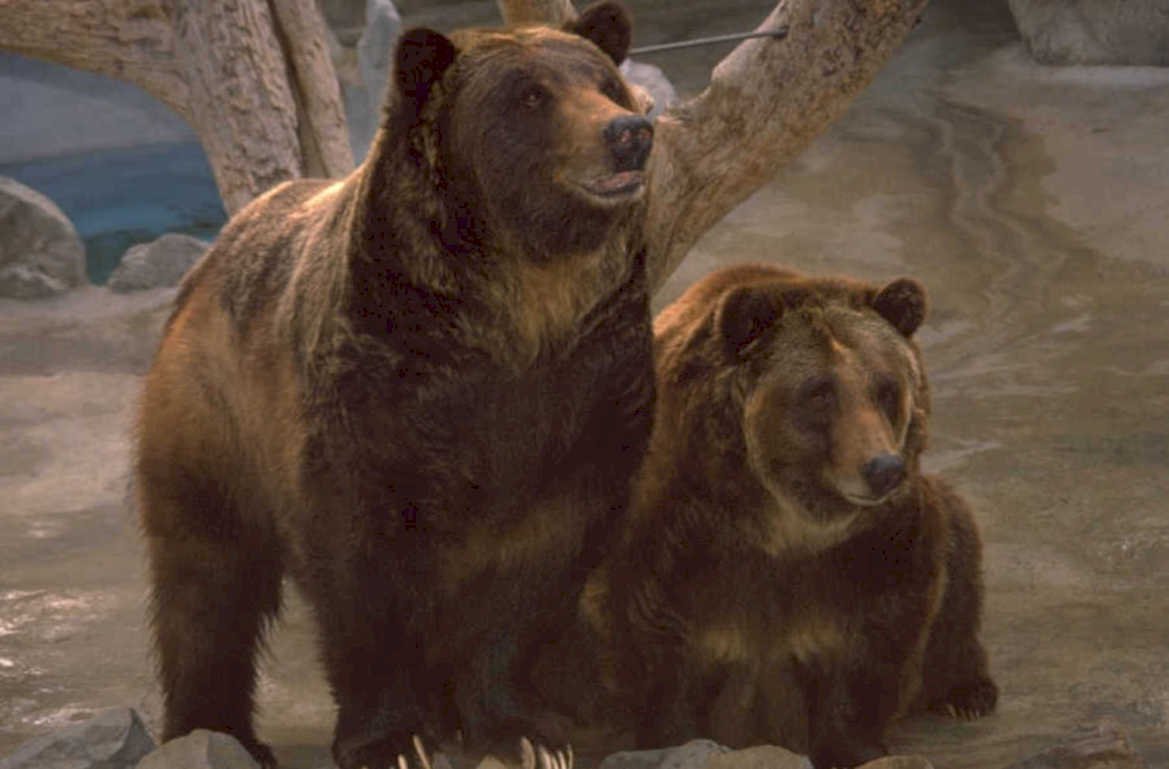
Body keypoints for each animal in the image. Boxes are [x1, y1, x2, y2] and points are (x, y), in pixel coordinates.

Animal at [133, 5, 655, 769]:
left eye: (605, 83)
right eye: (530, 96)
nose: (629, 134)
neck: (521, 300)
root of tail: (231, 235)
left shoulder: (588, 388)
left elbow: (535, 571)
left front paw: (522, 730)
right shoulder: (381, 387)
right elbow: (361, 571)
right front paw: (392, 738)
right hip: (206, 417)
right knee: (205, 576)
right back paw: (214, 727)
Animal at [589, 263, 997, 768]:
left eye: (885, 387)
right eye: (820, 392)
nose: (882, 468)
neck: (783, 521)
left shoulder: (874, 543)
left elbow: (879, 636)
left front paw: (854, 744)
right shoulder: (679, 531)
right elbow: (655, 643)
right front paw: (669, 736)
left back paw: (967, 693)